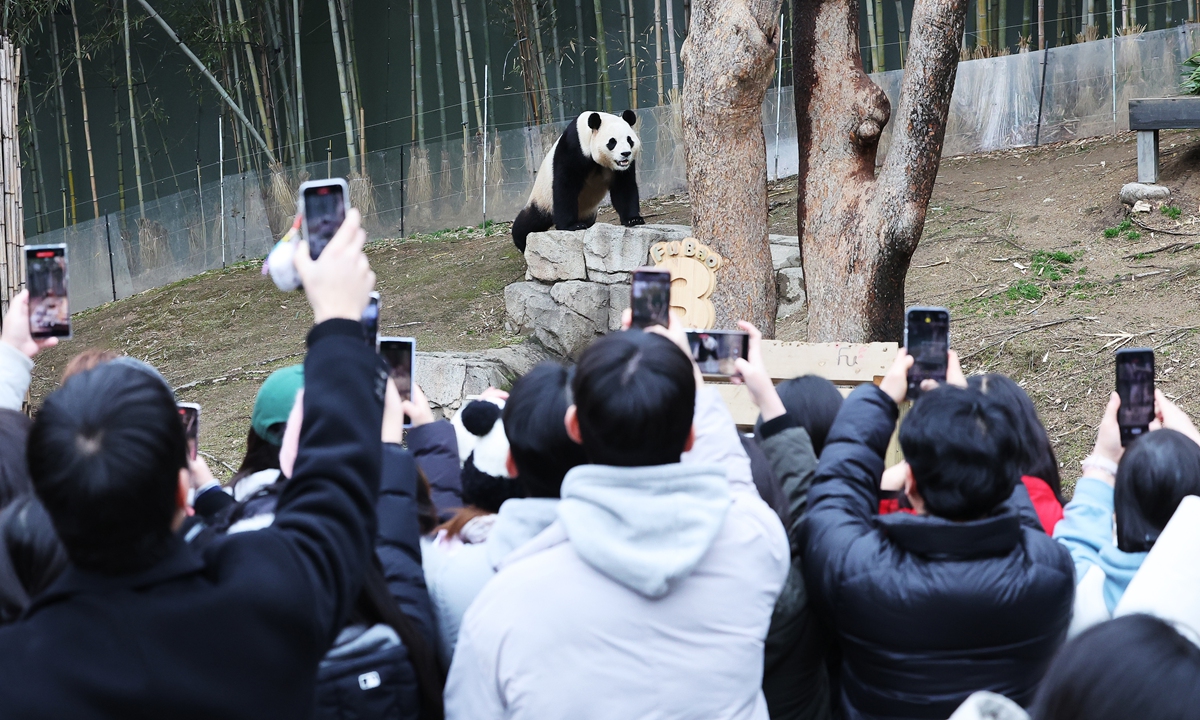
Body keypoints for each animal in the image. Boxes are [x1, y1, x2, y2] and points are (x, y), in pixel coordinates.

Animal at [513, 108, 648, 252]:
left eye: (629, 140)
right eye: (612, 142)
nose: (625, 154)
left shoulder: (623, 168)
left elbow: (624, 187)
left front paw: (633, 219)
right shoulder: (573, 147)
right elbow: (565, 185)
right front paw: (572, 226)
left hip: (588, 211)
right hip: (543, 199)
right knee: (530, 221)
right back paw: (521, 241)